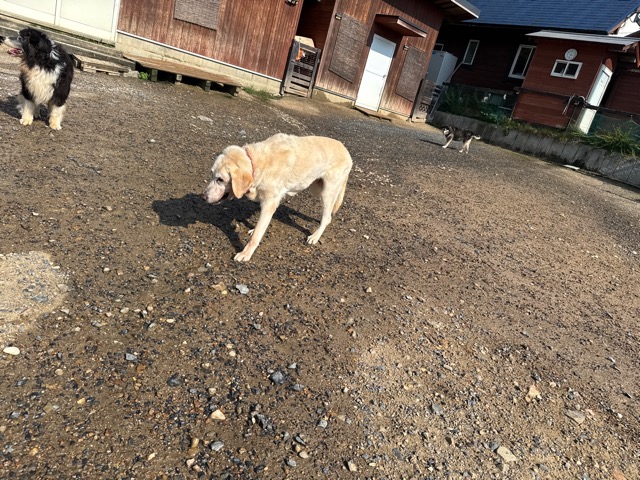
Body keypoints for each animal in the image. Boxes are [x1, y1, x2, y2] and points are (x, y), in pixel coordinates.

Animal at [202, 133, 353, 262]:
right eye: (211, 174)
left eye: (220, 179)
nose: (204, 197)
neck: (256, 163)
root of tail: (346, 150)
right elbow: (259, 227)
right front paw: (253, 229)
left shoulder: (269, 203)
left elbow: (257, 235)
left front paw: (246, 253)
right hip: (315, 187)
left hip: (327, 192)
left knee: (327, 218)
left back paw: (315, 236)